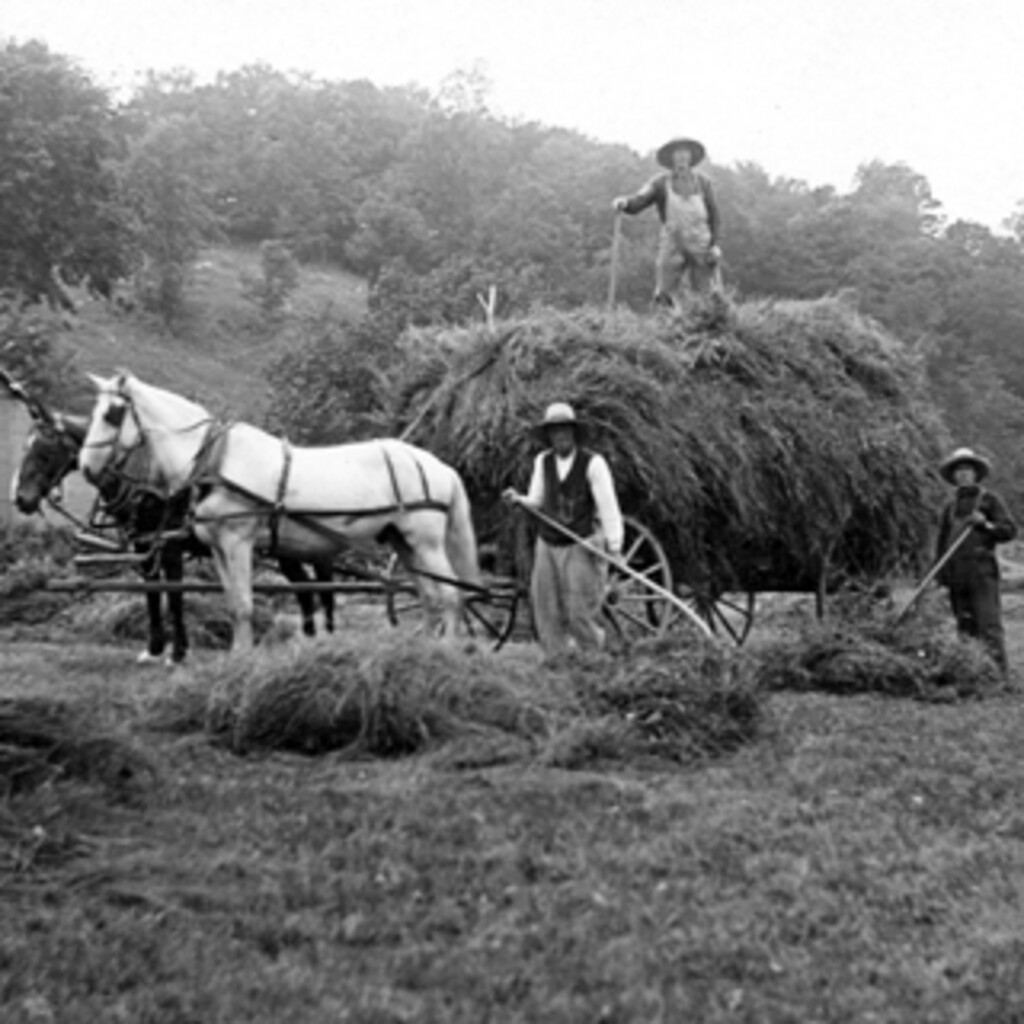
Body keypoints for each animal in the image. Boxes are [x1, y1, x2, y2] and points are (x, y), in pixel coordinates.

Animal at [11, 403, 335, 659]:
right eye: (26, 447)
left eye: (45, 451)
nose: (21, 499)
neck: (145, 479)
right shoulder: (144, 546)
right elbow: (152, 592)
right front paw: (155, 647)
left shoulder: (170, 547)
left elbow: (175, 593)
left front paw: (178, 651)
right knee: (307, 589)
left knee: (313, 587)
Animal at [77, 372, 481, 651]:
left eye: (113, 414)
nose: (86, 467)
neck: (214, 458)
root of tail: (438, 466)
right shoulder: (219, 547)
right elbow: (232, 604)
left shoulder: (238, 542)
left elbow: (243, 605)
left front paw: (242, 660)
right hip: (403, 543)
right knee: (429, 597)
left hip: (426, 543)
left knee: (451, 596)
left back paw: (445, 651)